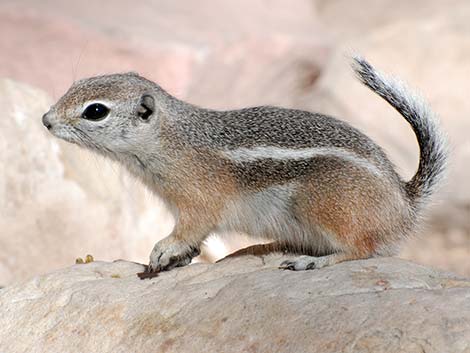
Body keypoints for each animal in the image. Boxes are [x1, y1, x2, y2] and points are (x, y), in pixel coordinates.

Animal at [43, 57, 448, 272]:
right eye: (75, 84)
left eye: (96, 111)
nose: (46, 120)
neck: (171, 139)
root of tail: (404, 203)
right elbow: (196, 242)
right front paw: (178, 258)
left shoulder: (198, 202)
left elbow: (189, 229)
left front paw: (164, 248)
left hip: (324, 204)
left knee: (362, 248)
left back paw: (313, 262)